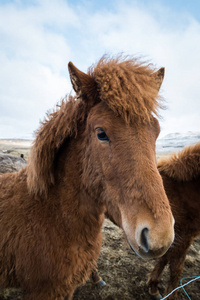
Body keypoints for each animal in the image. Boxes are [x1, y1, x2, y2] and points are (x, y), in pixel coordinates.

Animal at [92, 142, 200, 298]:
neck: (182, 193)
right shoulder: (182, 241)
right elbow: (176, 272)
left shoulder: (171, 240)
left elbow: (163, 259)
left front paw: (153, 286)